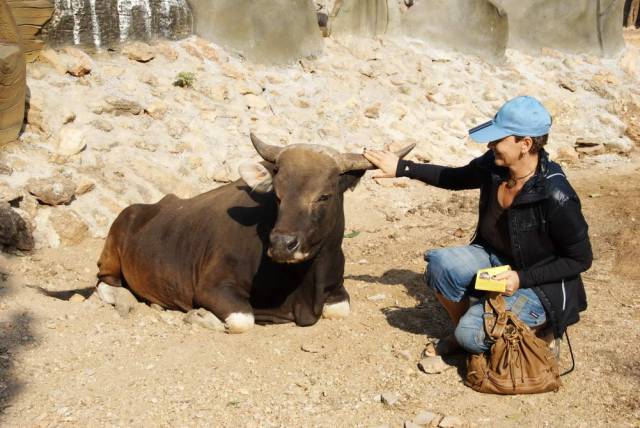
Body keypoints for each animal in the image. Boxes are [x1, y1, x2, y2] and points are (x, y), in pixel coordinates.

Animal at [95, 135, 416, 332]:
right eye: (278, 196)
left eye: (323, 196)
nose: (282, 244)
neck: (301, 281)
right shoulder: (213, 287)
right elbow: (243, 318)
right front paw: (199, 316)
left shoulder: (336, 291)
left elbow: (339, 310)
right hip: (111, 251)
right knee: (103, 281)